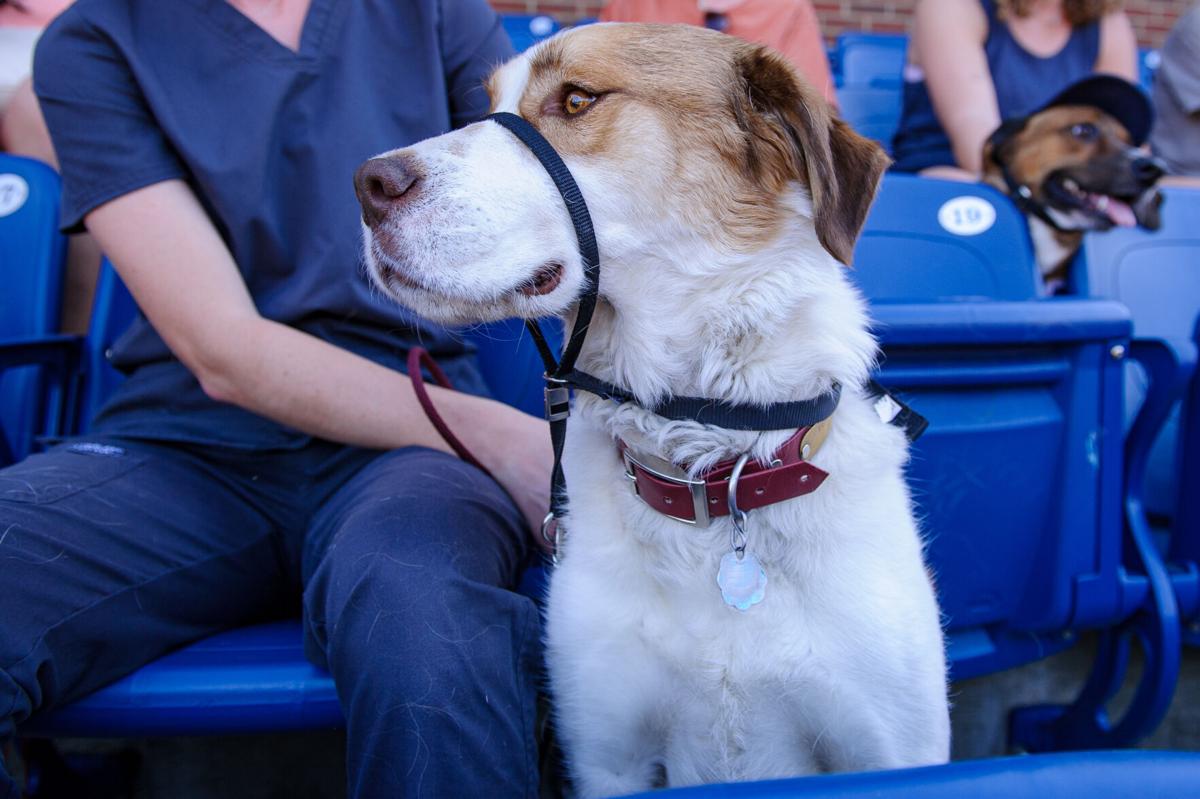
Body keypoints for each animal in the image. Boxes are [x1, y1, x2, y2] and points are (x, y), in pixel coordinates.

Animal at [350, 23, 950, 791]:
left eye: (577, 99)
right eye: (486, 105)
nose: (368, 184)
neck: (712, 471)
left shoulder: (894, 753)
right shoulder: (608, 757)